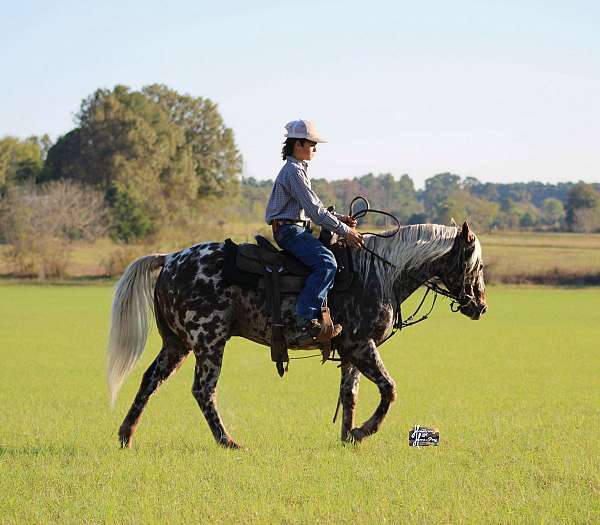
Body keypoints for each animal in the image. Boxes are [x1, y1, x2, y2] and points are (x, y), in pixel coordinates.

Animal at [108, 220, 488, 446]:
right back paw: (227, 441)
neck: (379, 273)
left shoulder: (351, 352)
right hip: (209, 342)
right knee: (203, 390)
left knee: (150, 380)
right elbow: (388, 389)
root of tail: (171, 258)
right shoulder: (361, 345)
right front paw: (365, 431)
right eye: (477, 264)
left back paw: (126, 435)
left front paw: (347, 436)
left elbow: (350, 395)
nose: (481, 306)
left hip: (177, 344)